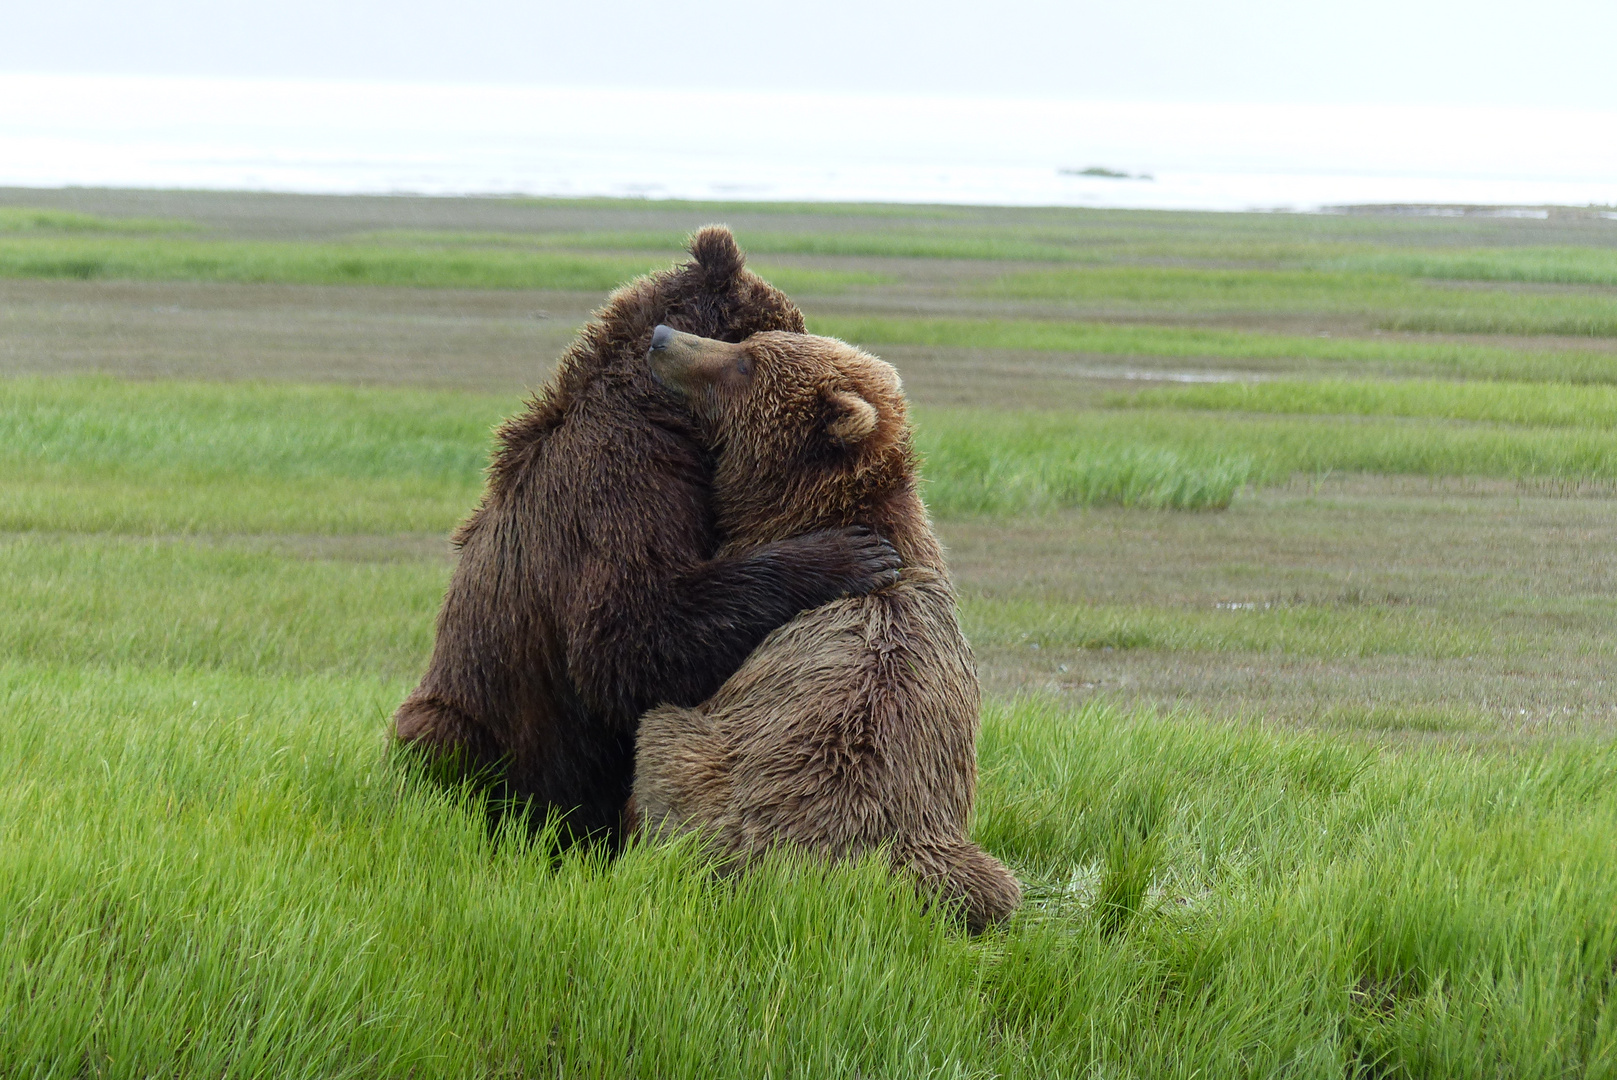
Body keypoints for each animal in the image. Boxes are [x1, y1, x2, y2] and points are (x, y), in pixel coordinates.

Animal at [388, 227, 899, 840]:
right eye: (771, 341)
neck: (663, 413)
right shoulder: (624, 478)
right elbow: (629, 636)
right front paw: (849, 553)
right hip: (484, 716)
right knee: (444, 740)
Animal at [630, 324, 1021, 931]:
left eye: (745, 363)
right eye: (750, 341)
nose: (663, 337)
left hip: (707, 774)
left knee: (659, 735)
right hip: (957, 857)